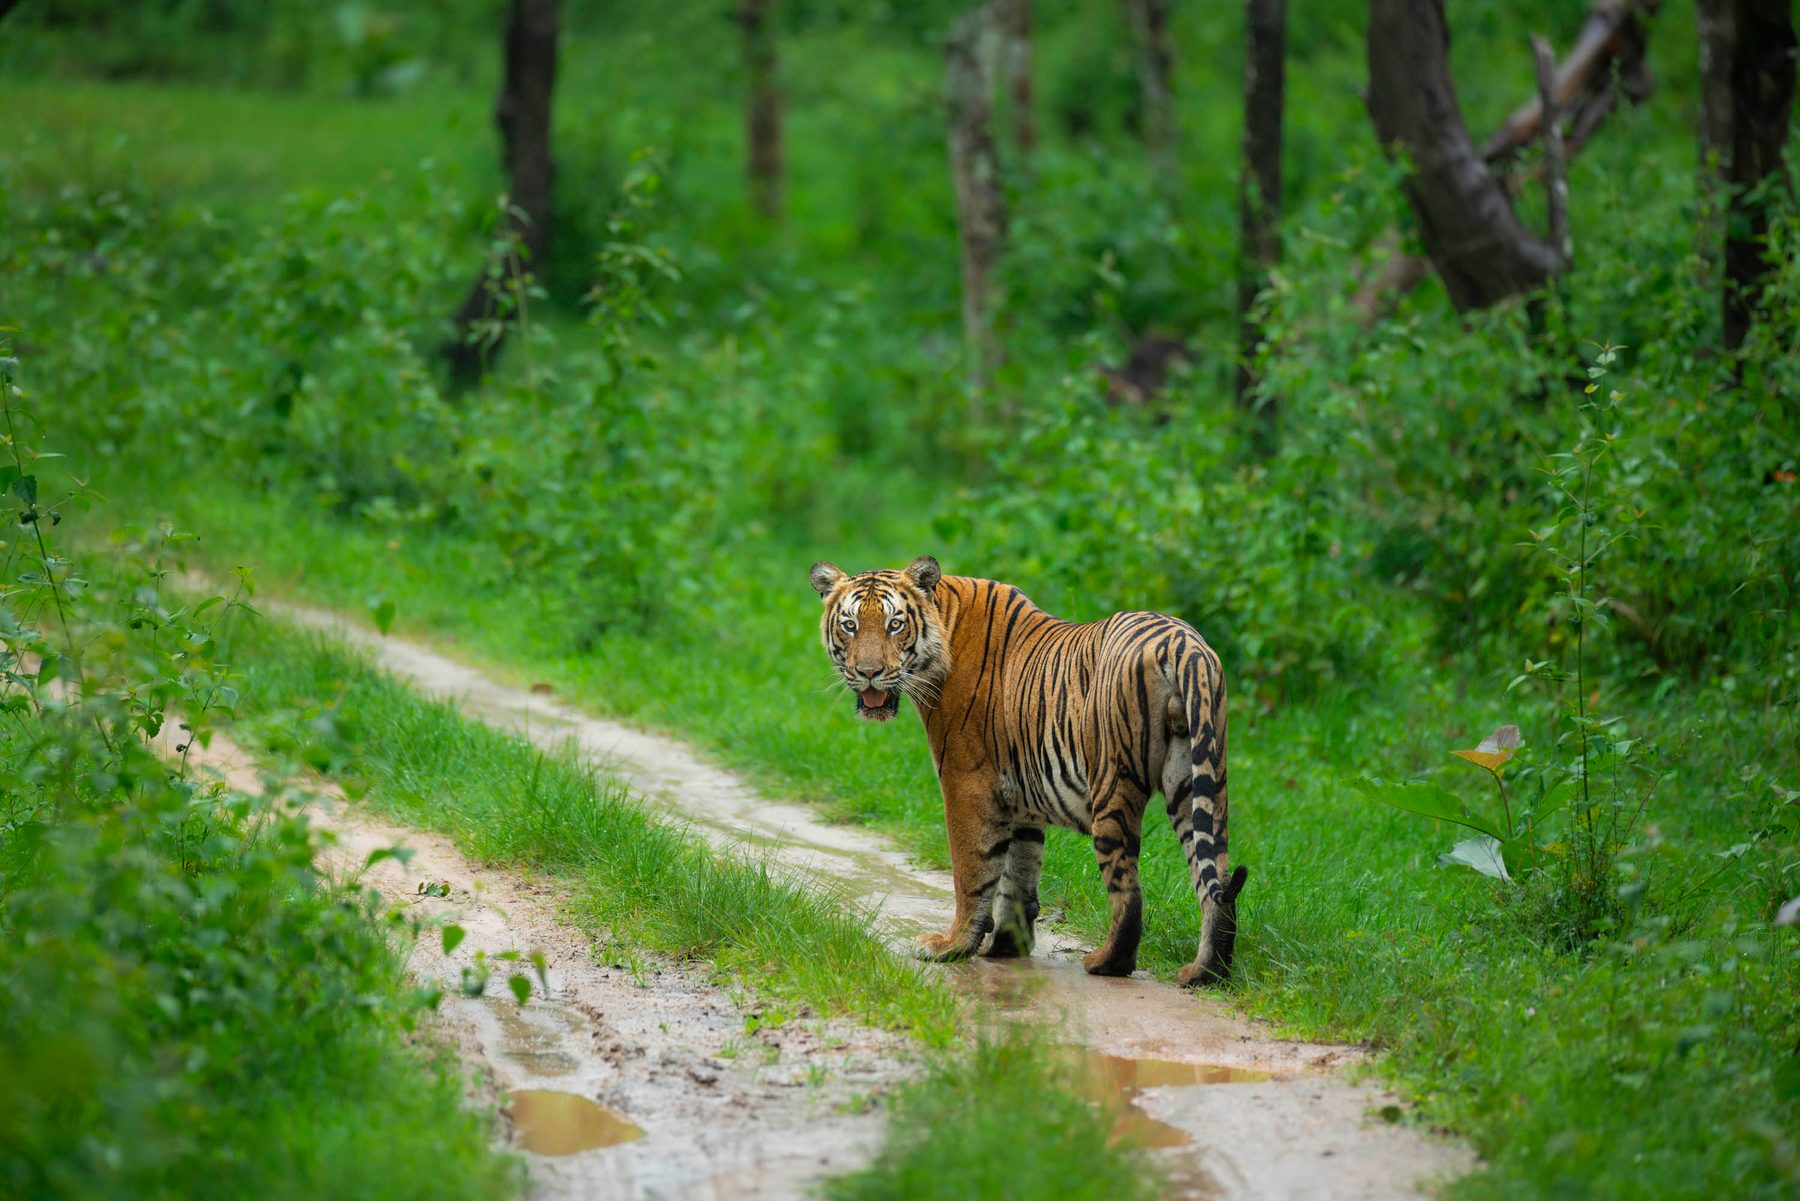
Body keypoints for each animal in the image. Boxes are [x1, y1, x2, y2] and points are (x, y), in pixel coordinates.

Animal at [809, 555, 1248, 986]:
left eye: (894, 624)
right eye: (850, 625)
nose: (868, 673)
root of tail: (1184, 644)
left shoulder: (967, 783)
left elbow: (972, 871)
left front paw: (952, 946)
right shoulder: (1020, 800)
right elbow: (1017, 875)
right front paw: (1006, 945)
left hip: (1113, 782)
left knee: (1129, 889)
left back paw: (1107, 963)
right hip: (1198, 782)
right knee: (1216, 879)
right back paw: (1205, 971)